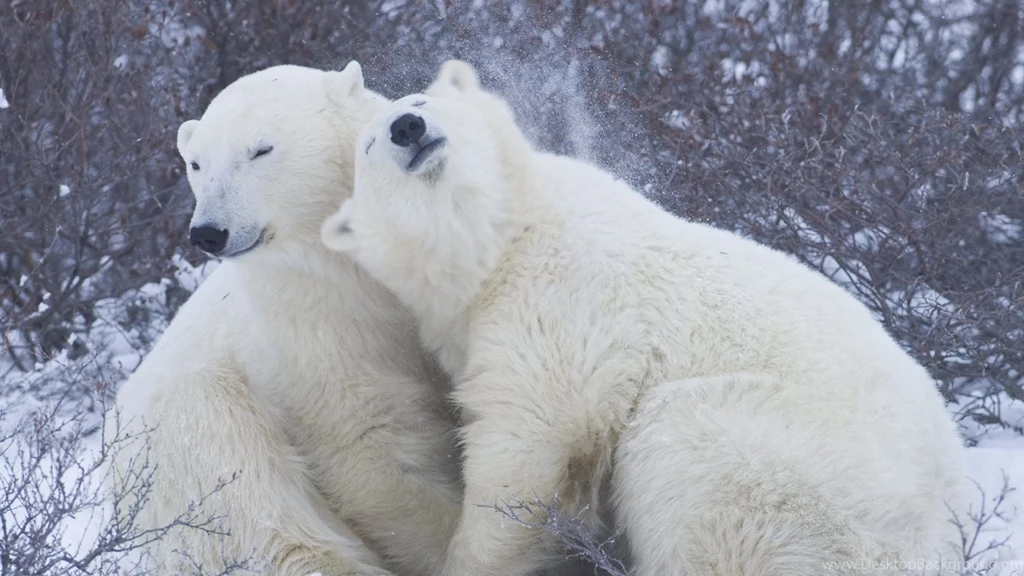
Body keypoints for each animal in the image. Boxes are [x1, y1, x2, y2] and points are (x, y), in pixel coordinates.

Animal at [107, 61, 463, 576]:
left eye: (260, 149)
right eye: (196, 164)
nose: (209, 232)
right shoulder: (312, 330)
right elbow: (371, 446)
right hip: (175, 457)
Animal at [320, 60, 970, 576]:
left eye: (422, 102)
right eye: (369, 146)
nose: (408, 128)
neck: (504, 239)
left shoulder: (562, 297)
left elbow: (532, 437)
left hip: (792, 468)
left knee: (686, 461)